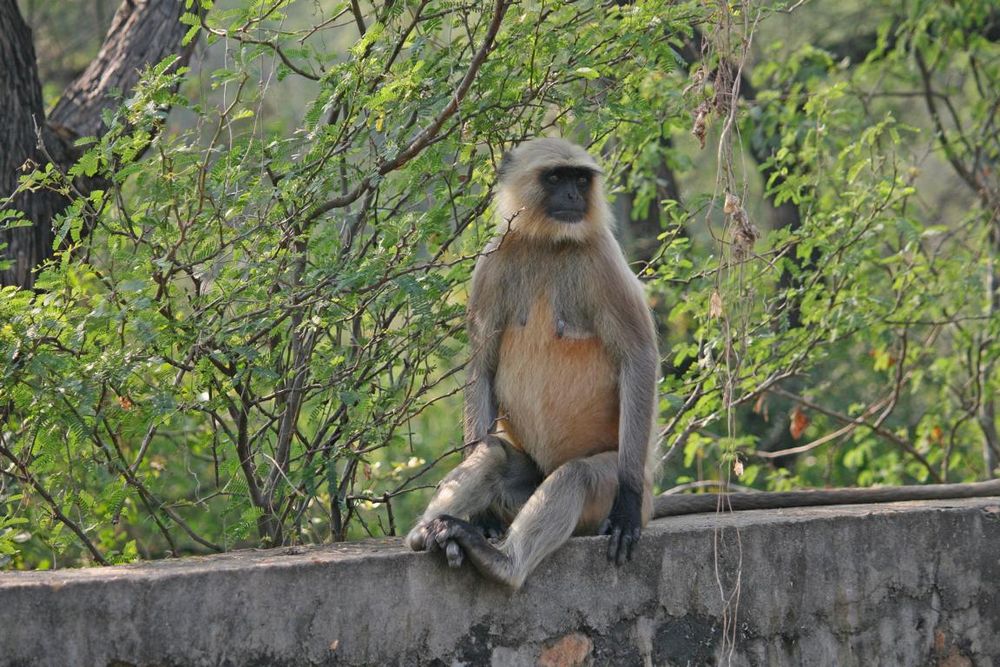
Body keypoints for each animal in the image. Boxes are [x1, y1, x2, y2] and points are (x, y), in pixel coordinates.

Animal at [404, 137, 1000, 588]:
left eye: (580, 180)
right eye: (556, 179)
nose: (573, 194)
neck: (550, 244)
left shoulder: (602, 257)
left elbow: (639, 357)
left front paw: (618, 508)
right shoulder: (492, 262)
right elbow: (482, 366)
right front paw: (471, 520)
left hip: (614, 481)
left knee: (576, 476)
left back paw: (502, 563)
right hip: (524, 480)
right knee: (494, 453)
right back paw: (441, 533)